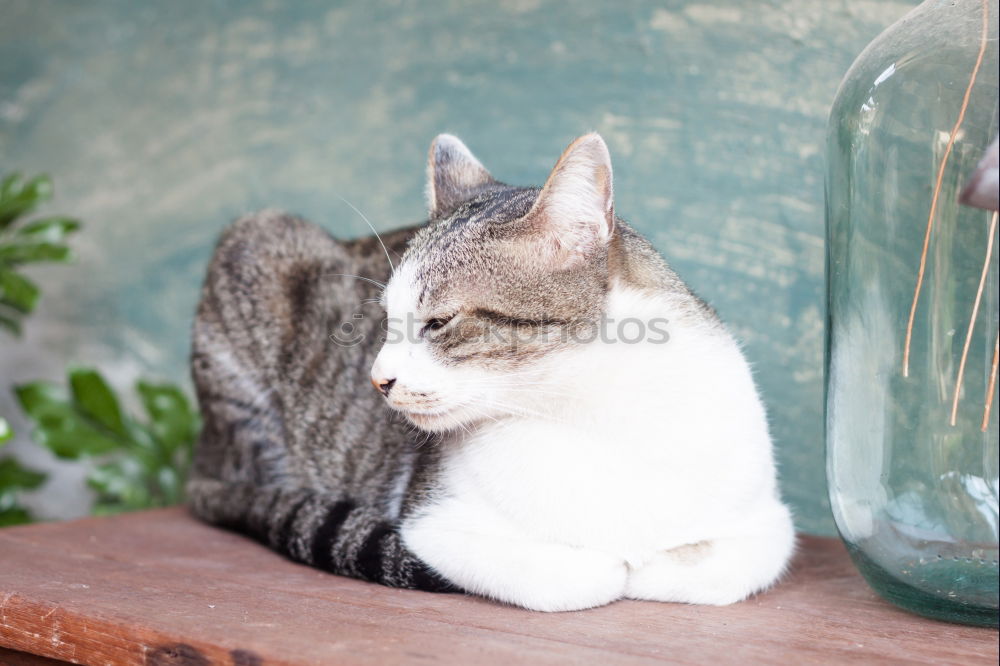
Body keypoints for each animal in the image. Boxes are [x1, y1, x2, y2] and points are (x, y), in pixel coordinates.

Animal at [189, 132, 796, 608]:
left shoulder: (769, 522)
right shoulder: (433, 524)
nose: (377, 380)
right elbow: (575, 577)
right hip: (256, 244)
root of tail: (203, 451)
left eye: (437, 323)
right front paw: (612, 565)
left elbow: (714, 567)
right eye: (385, 321)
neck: (589, 409)